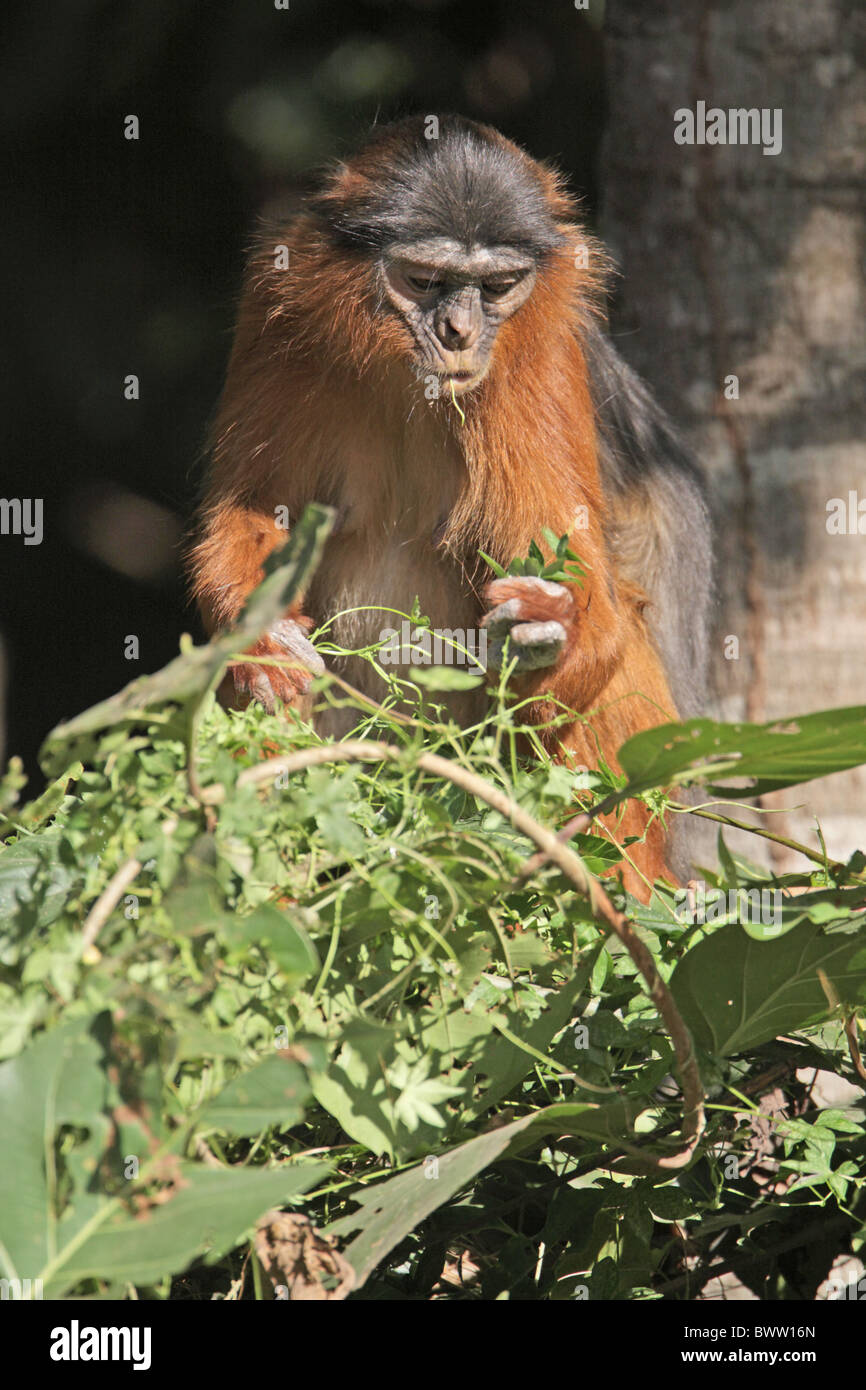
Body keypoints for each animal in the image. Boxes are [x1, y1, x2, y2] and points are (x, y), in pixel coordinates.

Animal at [189, 115, 712, 900]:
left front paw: (553, 629)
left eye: (495, 287)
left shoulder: (544, 348)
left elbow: (596, 612)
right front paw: (256, 641)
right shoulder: (276, 309)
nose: (458, 334)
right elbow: (258, 515)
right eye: (426, 281)